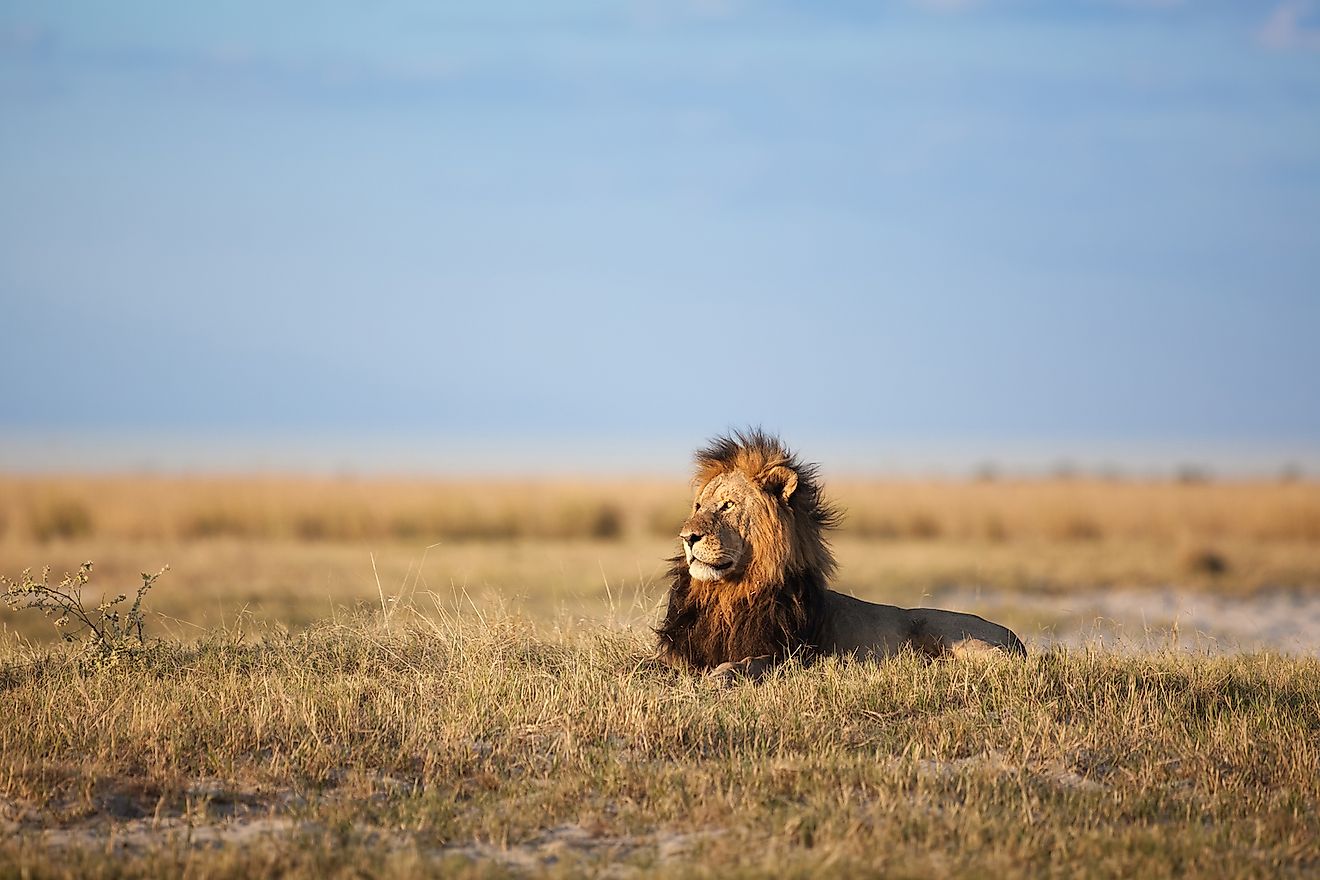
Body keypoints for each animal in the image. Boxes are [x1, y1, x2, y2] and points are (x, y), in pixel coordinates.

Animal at [656, 430, 1026, 682]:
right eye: (698, 506)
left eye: (728, 505)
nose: (687, 537)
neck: (729, 594)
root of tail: (1016, 638)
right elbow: (650, 663)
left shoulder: (794, 656)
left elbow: (751, 662)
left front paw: (723, 674)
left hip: (955, 635)